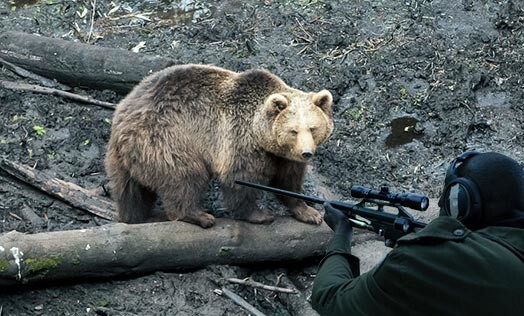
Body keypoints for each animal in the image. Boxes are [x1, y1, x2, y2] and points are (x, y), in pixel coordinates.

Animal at [105, 63, 334, 227]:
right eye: (293, 131)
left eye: (313, 128)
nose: (306, 153)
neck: (262, 137)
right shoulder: (240, 139)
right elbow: (240, 179)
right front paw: (260, 214)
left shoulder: (282, 157)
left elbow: (288, 182)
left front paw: (309, 212)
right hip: (166, 138)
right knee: (185, 176)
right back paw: (199, 216)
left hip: (122, 158)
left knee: (130, 190)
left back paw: (134, 216)